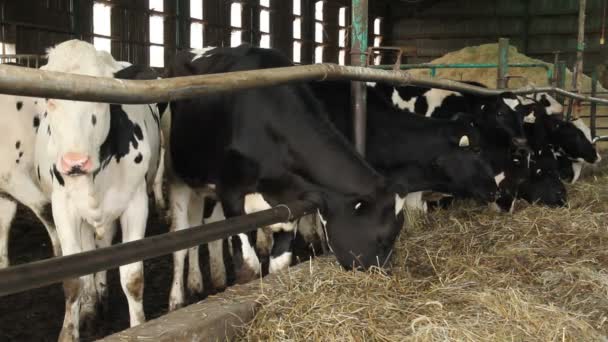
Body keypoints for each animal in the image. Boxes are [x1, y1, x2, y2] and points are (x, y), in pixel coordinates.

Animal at [30, 39, 162, 340]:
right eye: (50, 99)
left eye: (101, 98)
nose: (75, 162)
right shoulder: (63, 207)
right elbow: (73, 277)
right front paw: (69, 331)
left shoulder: (136, 203)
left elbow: (132, 276)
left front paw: (139, 326)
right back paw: (91, 306)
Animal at [164, 44, 406, 308]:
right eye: (383, 237)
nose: (383, 276)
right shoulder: (230, 193)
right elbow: (248, 266)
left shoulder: (290, 203)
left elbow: (279, 263)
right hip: (178, 177)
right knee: (181, 237)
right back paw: (177, 298)